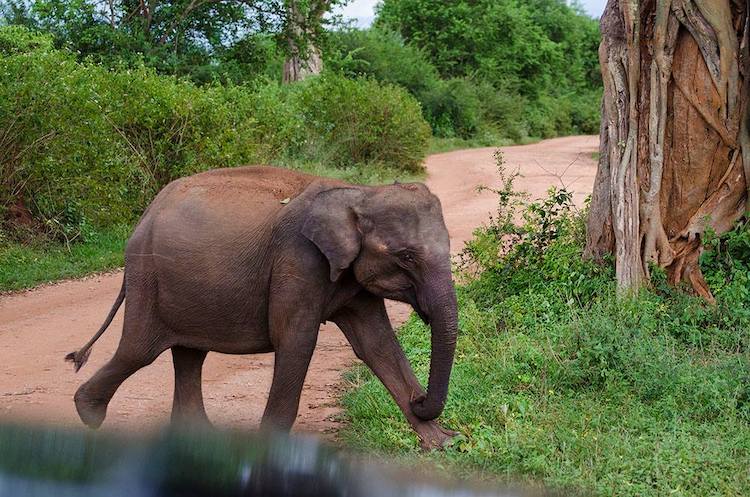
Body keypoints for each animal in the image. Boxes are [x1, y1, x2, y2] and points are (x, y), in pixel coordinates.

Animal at [66, 165, 458, 448]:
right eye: (406, 257)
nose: (421, 399)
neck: (358, 193)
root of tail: (145, 215)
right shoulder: (298, 259)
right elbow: (296, 341)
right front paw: (267, 447)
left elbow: (376, 344)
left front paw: (442, 443)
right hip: (148, 277)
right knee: (140, 350)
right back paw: (88, 415)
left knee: (189, 354)